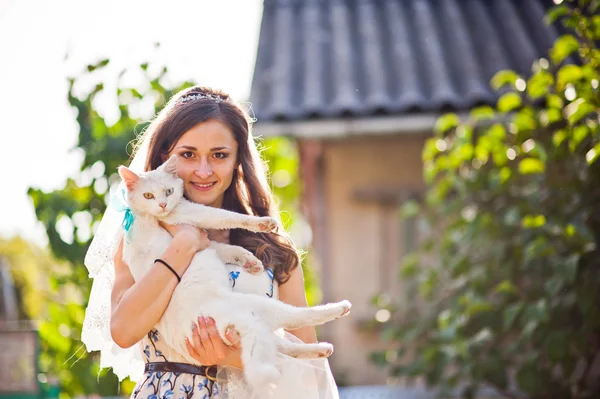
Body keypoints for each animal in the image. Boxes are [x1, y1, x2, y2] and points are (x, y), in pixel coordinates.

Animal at [117, 156, 352, 390]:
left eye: (168, 191)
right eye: (148, 195)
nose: (163, 204)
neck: (143, 215)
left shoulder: (200, 237)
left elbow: (225, 248)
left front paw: (250, 261)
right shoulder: (190, 214)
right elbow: (227, 217)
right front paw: (262, 223)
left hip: (261, 326)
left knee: (284, 349)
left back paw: (321, 349)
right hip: (261, 308)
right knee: (297, 319)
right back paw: (339, 309)